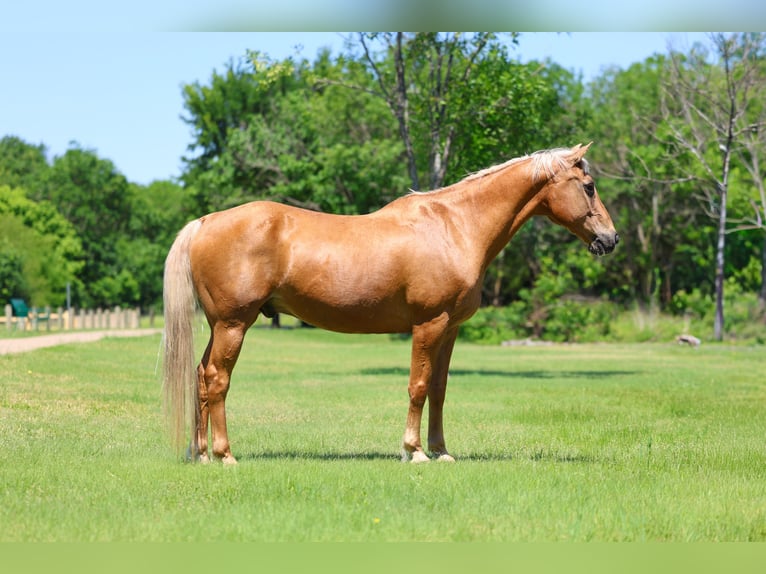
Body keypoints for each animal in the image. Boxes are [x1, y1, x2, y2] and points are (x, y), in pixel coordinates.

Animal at [162, 143, 619, 465]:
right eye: (589, 186)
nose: (611, 239)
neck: (455, 226)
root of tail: (205, 222)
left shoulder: (451, 328)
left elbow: (438, 388)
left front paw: (441, 450)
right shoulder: (428, 324)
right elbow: (417, 386)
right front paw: (414, 451)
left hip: (220, 326)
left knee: (200, 377)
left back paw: (200, 453)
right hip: (234, 325)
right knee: (218, 380)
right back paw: (224, 455)